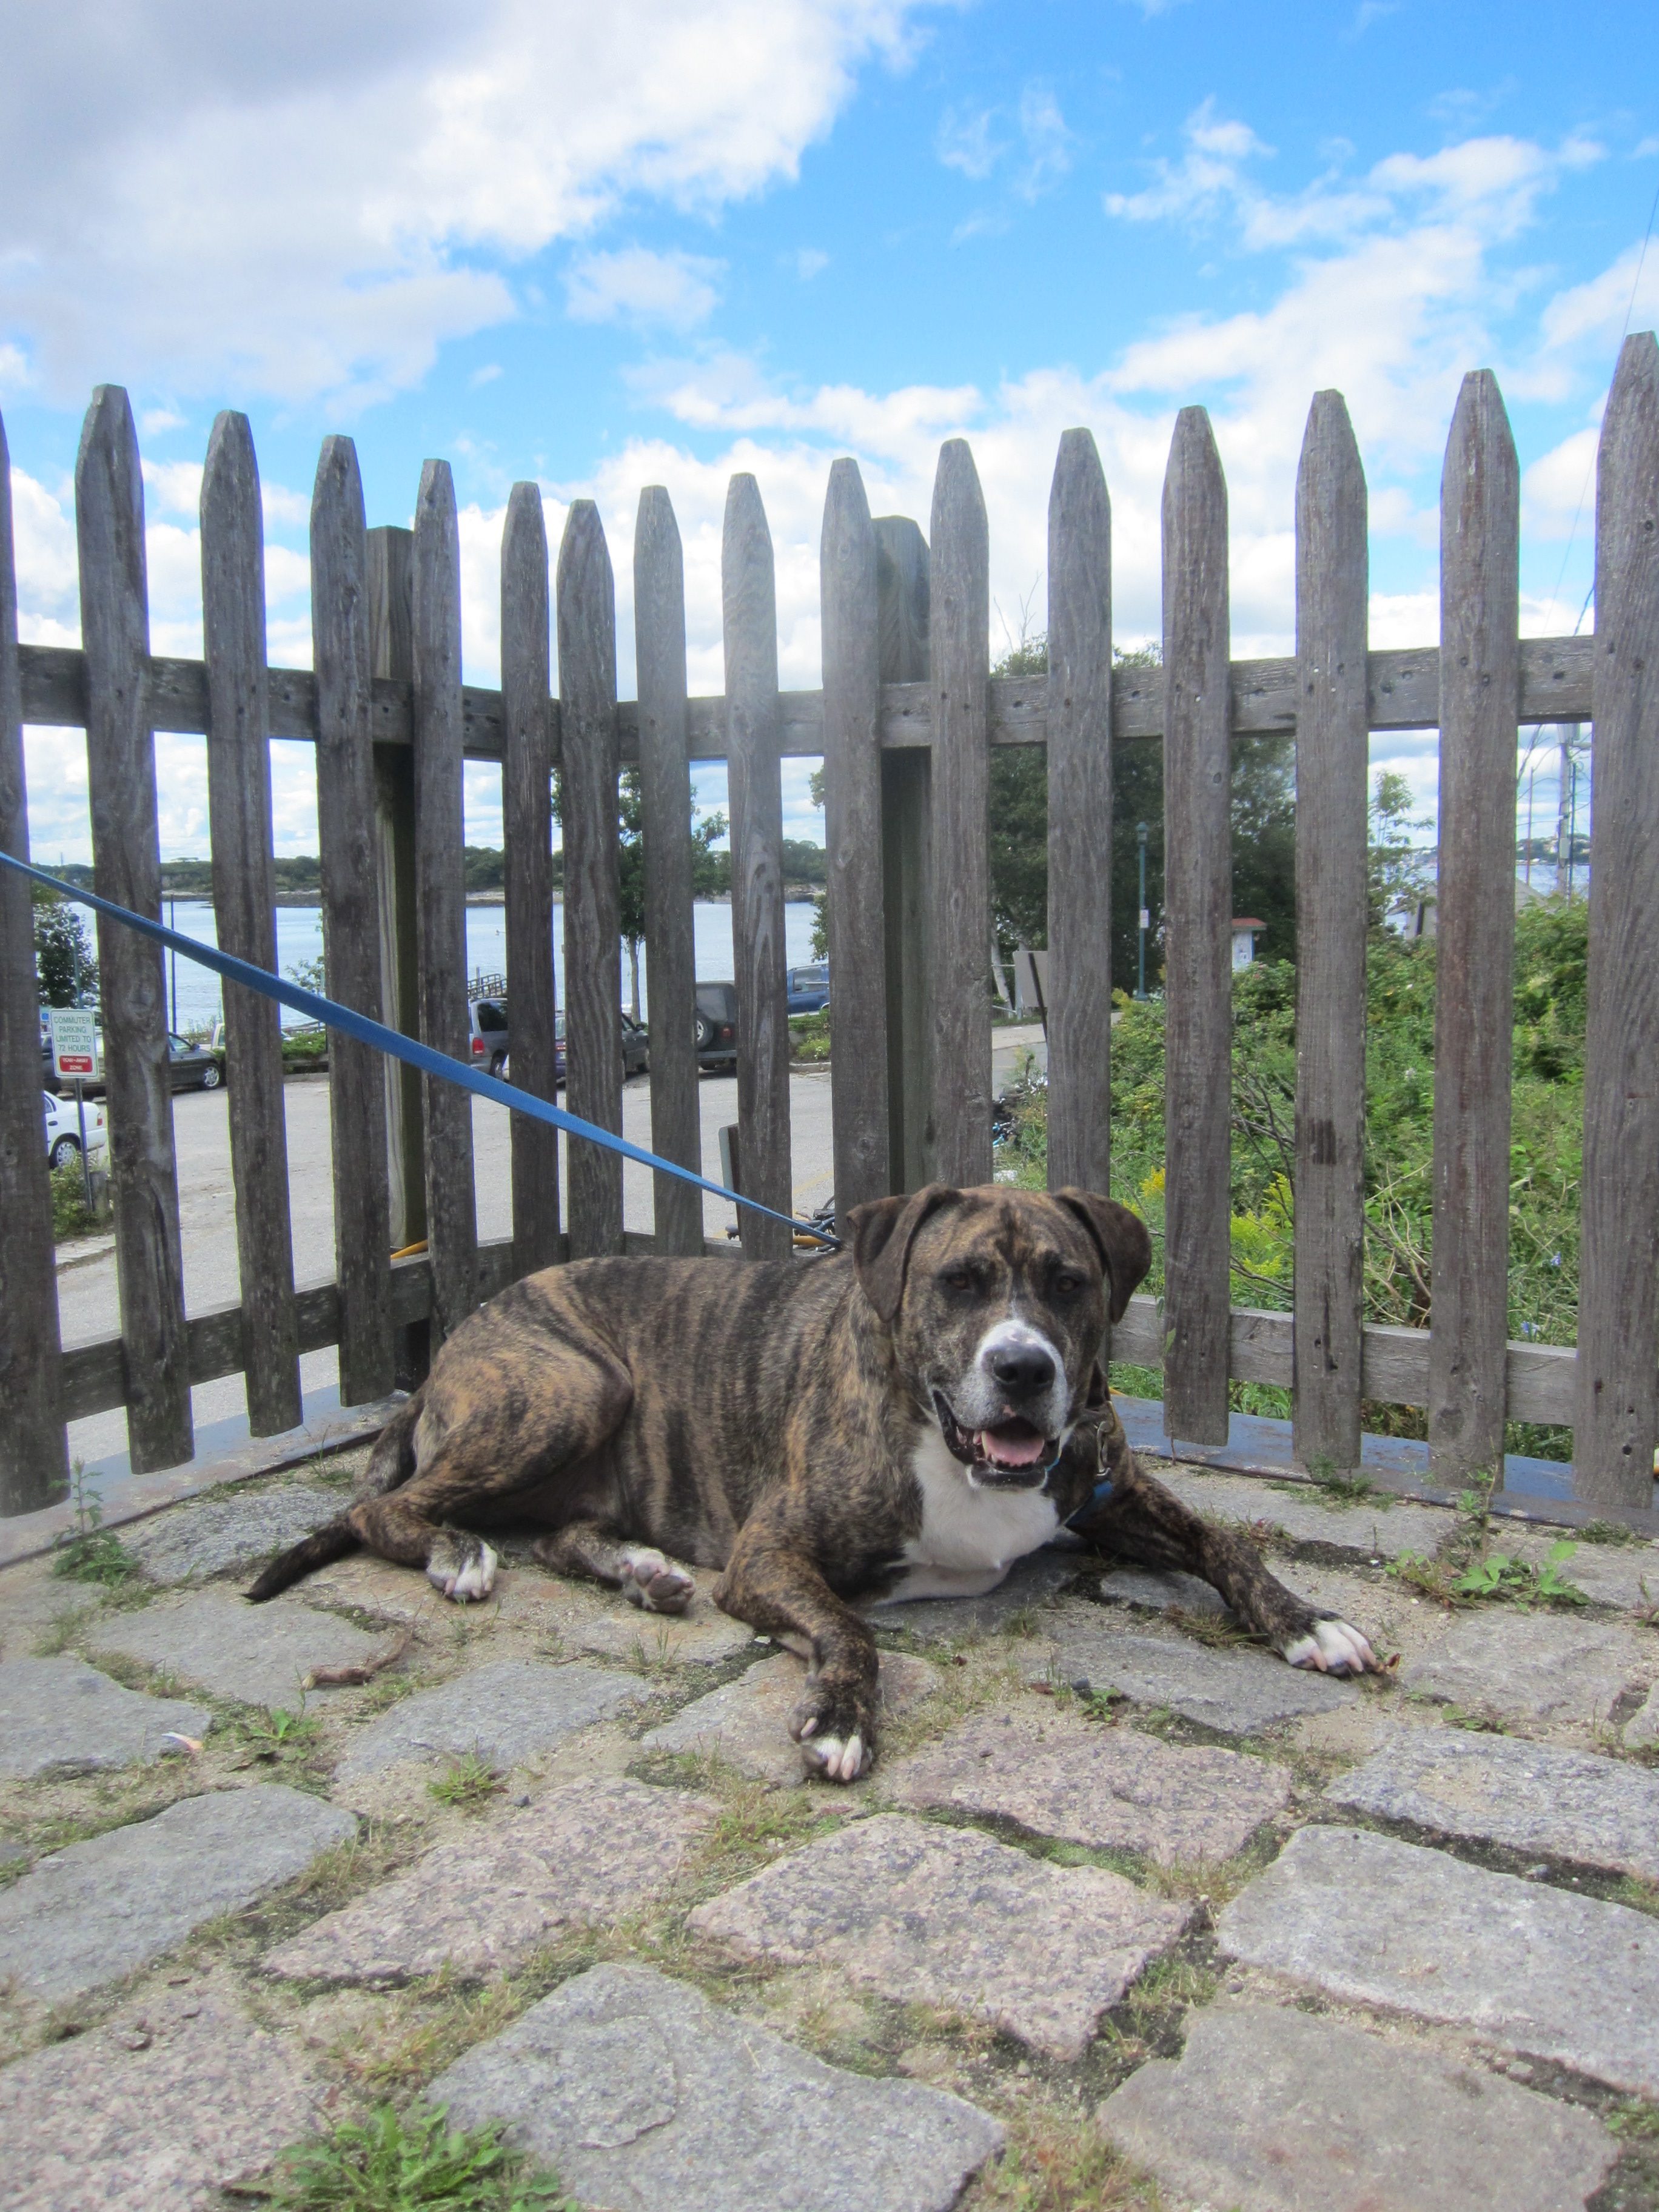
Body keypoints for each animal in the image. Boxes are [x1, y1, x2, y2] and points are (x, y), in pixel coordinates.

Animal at [249, 1183, 1378, 1778]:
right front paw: (840, 1715)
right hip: (568, 1387)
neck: (946, 1441)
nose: (1023, 1369)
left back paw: (640, 1571)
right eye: (959, 1281)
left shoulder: (1106, 1488)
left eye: (1069, 1282)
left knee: (562, 1531)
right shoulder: (769, 1555)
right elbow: (849, 1627)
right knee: (386, 1505)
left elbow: (1226, 1542)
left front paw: (1307, 1618)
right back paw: (458, 1553)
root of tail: (454, 1342)